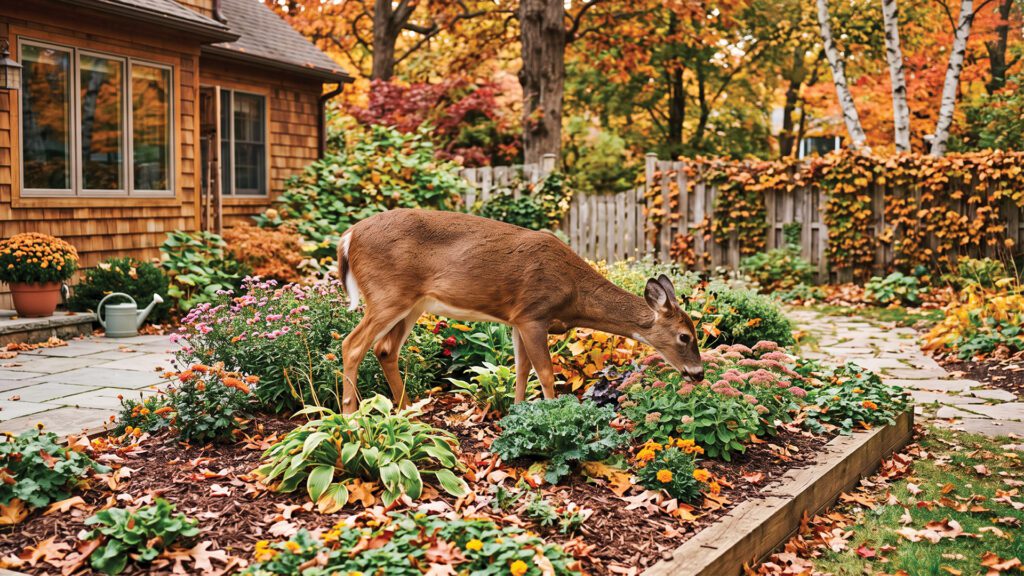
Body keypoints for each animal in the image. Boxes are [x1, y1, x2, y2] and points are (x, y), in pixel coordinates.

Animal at [336, 208, 705, 413]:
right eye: (685, 336)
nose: (698, 374)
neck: (574, 295)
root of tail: (348, 236)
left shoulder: (516, 319)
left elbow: (521, 371)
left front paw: (515, 414)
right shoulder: (532, 314)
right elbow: (545, 373)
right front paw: (552, 414)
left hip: (414, 303)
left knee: (385, 349)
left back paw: (407, 410)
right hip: (388, 294)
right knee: (352, 344)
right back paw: (351, 415)